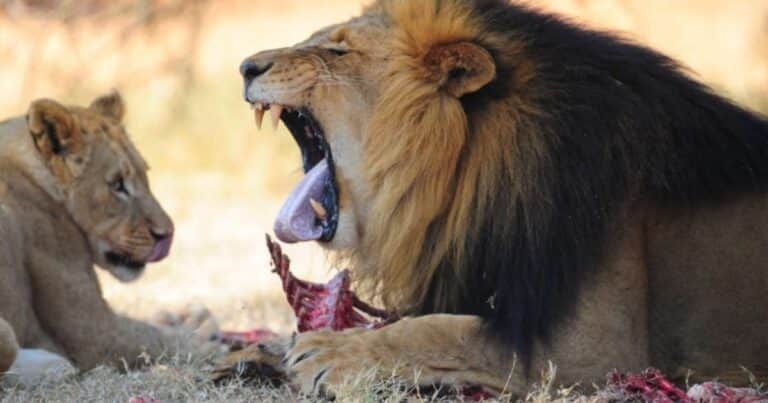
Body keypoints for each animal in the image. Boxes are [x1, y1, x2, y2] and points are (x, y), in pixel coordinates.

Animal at [0, 92, 214, 386]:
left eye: (145, 174)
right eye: (118, 185)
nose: (167, 234)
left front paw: (187, 317)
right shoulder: (93, 331)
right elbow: (161, 339)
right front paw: (209, 341)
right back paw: (54, 364)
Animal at [231, 0, 768, 397]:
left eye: (339, 52)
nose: (245, 66)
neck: (469, 175)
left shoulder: (600, 346)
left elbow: (437, 329)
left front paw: (329, 352)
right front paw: (274, 348)